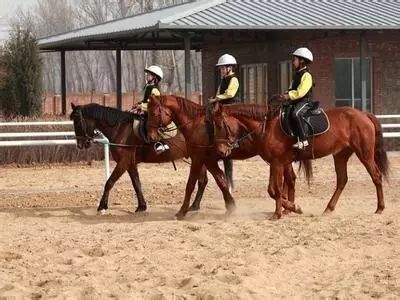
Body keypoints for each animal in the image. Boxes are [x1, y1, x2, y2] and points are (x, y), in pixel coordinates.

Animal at [69, 102, 212, 213]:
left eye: (78, 123)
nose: (80, 145)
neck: (120, 129)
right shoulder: (131, 163)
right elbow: (136, 183)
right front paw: (141, 206)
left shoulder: (124, 162)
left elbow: (109, 182)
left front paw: (102, 207)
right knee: (203, 181)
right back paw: (194, 206)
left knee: (202, 181)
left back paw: (194, 206)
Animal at [145, 95, 302, 219]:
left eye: (153, 113)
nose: (151, 137)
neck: (196, 125)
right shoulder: (208, 161)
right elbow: (221, 180)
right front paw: (230, 205)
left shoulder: (199, 160)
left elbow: (191, 184)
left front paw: (182, 211)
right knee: (290, 179)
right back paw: (287, 206)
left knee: (289, 180)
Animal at [212, 96, 390, 220]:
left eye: (220, 125)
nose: (221, 151)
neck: (268, 126)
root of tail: (363, 114)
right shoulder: (276, 163)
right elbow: (275, 189)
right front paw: (290, 208)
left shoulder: (277, 163)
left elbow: (276, 189)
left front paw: (282, 212)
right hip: (340, 155)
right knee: (342, 180)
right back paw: (328, 209)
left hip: (365, 154)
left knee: (376, 176)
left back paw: (380, 208)